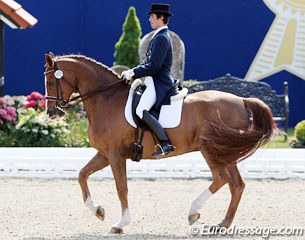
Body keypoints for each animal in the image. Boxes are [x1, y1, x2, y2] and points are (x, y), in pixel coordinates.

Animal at [44, 53, 276, 234]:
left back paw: (193, 213)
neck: (106, 99)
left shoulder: (115, 154)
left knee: (222, 178)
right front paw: (99, 211)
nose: (52, 112)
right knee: (236, 184)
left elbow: (121, 187)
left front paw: (120, 224)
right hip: (225, 151)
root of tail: (241, 100)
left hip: (210, 149)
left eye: (50, 81)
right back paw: (222, 225)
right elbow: (82, 175)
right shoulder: (105, 153)